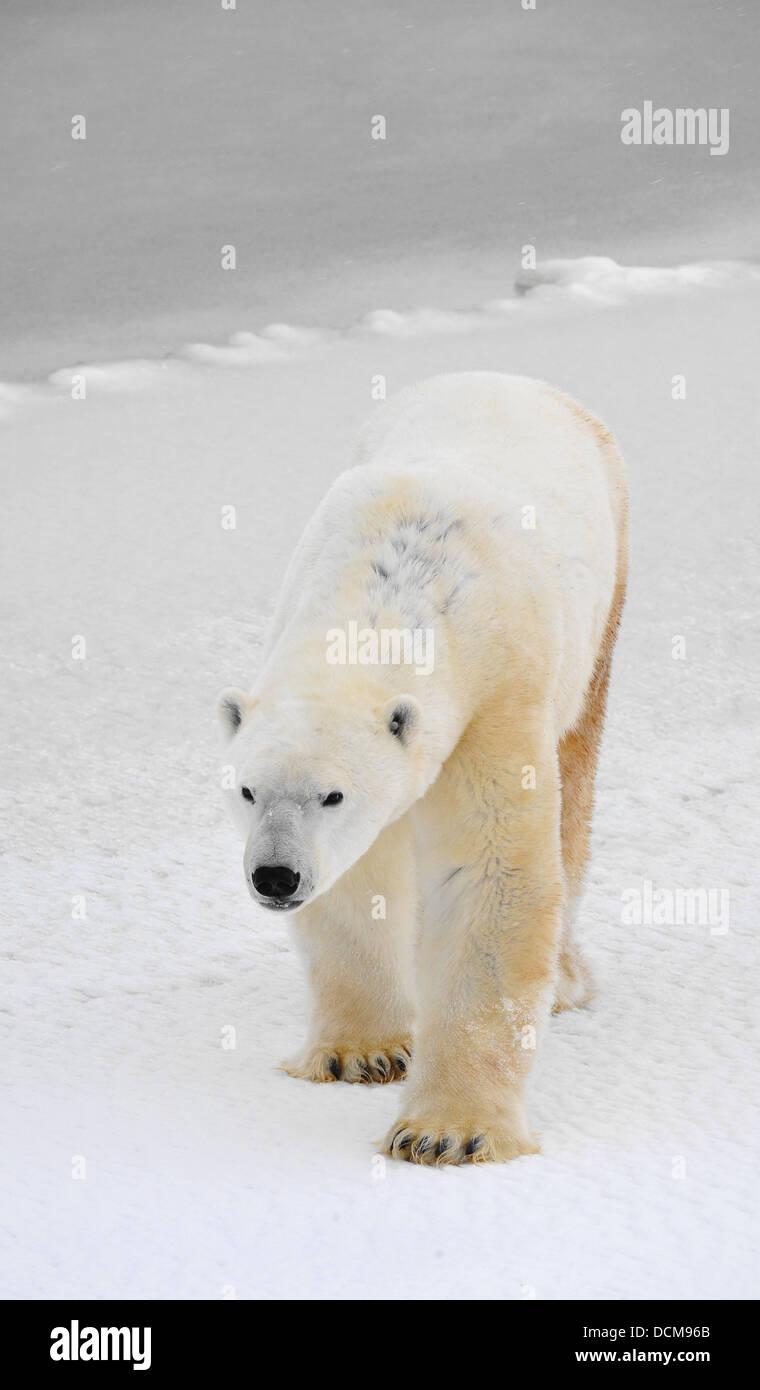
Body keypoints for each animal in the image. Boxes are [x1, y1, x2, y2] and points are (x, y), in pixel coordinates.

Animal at [217, 371, 628, 1165]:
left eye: (333, 795)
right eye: (247, 790)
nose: (275, 876)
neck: (393, 586)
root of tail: (511, 379)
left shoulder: (496, 695)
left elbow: (491, 872)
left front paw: (448, 1131)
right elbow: (360, 877)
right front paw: (362, 1053)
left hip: (602, 610)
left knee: (574, 787)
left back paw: (565, 981)